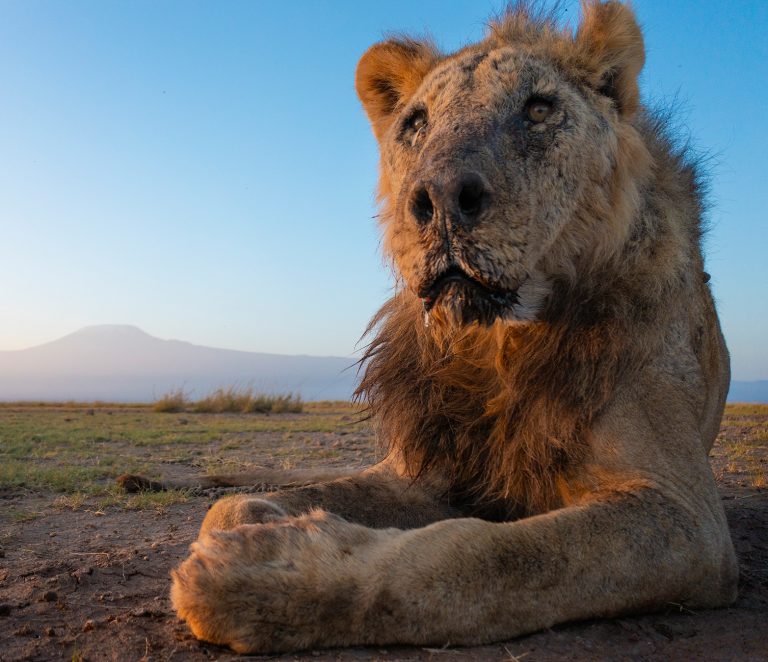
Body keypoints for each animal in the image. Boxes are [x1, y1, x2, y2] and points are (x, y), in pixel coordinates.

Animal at [119, 1, 737, 653]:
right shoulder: (423, 470)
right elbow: (233, 507)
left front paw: (265, 573)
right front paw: (263, 522)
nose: (439, 198)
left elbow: (482, 556)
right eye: (415, 124)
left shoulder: (684, 515)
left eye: (539, 109)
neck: (495, 342)